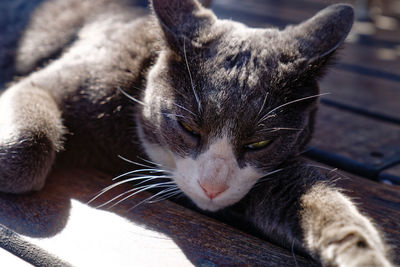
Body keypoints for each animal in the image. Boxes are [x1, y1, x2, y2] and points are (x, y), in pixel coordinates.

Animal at [0, 0, 394, 266]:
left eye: (260, 143)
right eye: (188, 128)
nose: (212, 187)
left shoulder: (271, 174)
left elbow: (313, 198)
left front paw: (363, 255)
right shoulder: (55, 83)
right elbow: (28, 148)